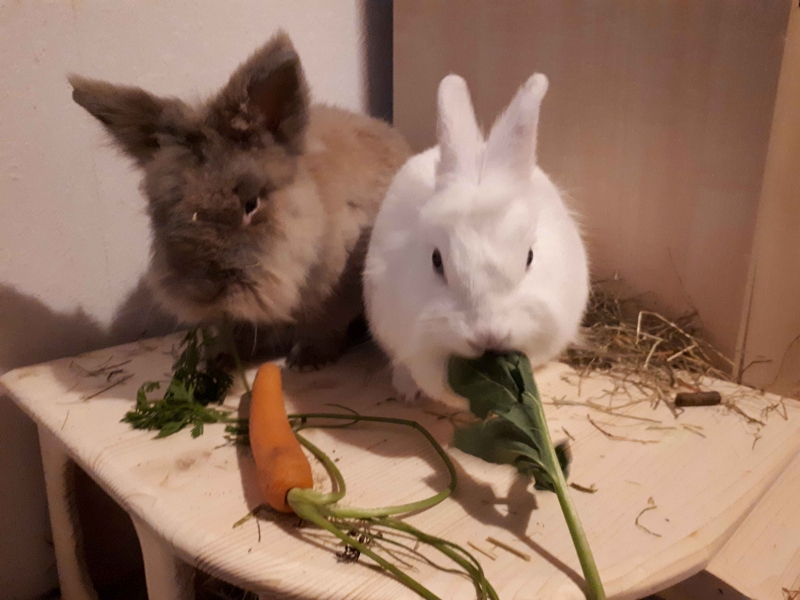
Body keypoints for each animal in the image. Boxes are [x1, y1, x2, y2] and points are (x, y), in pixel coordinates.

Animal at [69, 31, 411, 368]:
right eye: (158, 211)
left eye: (251, 205)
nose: (203, 290)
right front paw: (218, 360)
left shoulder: (336, 292)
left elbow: (324, 326)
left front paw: (306, 360)